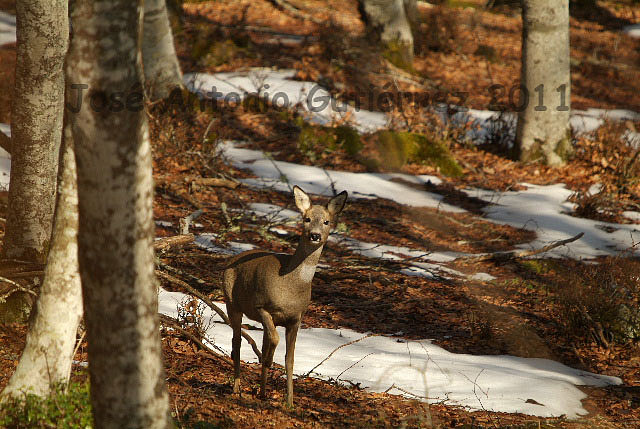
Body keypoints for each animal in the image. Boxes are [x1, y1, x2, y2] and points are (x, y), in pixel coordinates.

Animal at [224, 185, 348, 404]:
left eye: (327, 221)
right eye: (306, 219)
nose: (315, 235)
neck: (290, 284)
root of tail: (230, 260)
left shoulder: (296, 318)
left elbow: (290, 359)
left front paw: (289, 401)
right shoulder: (261, 306)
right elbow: (274, 340)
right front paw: (268, 363)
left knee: (257, 342)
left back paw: (263, 391)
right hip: (232, 303)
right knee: (236, 343)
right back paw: (237, 388)